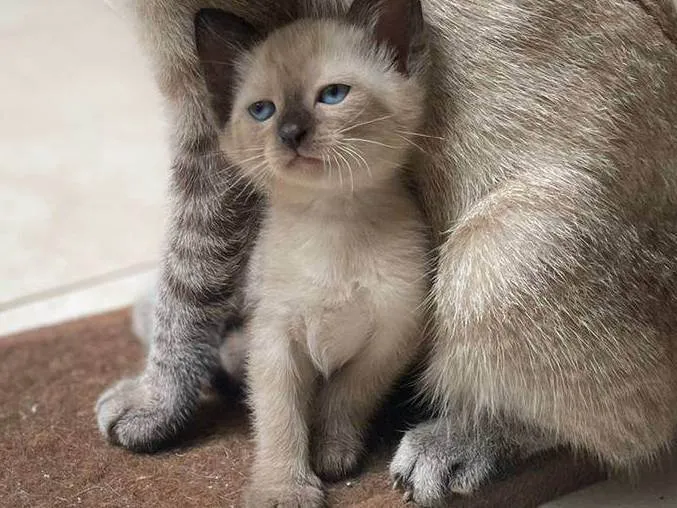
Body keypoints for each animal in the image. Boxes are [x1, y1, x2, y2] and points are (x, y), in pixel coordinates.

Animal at [194, 0, 428, 504]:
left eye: (333, 95)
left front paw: (331, 453)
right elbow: (280, 419)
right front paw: (282, 489)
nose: (290, 133)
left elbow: (345, 396)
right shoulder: (273, 337)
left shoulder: (392, 334)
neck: (332, 221)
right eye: (263, 110)